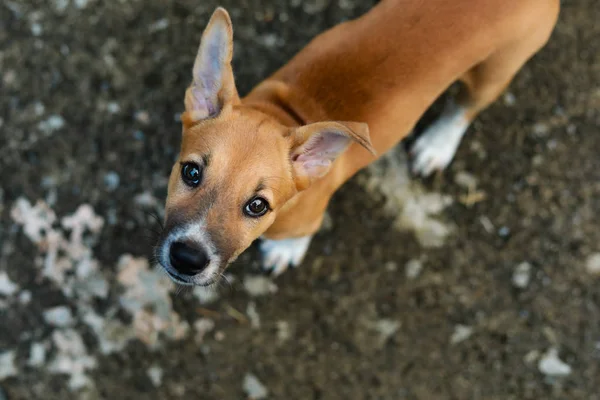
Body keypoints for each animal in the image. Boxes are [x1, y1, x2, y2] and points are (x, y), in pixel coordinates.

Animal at [155, 0, 556, 288]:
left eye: (257, 206)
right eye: (191, 172)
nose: (187, 259)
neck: (286, 113)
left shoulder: (305, 217)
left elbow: (301, 234)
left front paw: (285, 250)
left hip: (498, 68)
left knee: (465, 106)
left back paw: (437, 145)